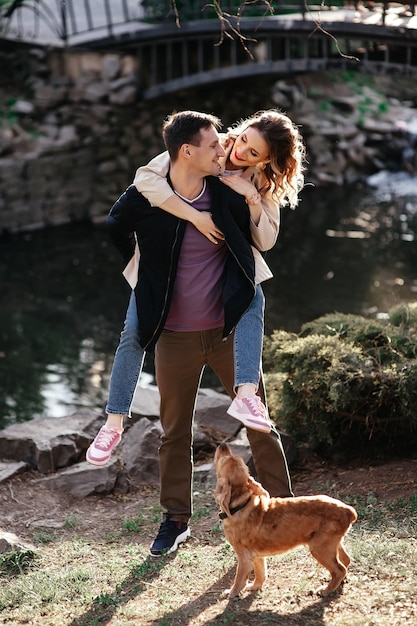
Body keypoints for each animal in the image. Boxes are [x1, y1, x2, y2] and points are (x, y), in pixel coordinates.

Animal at [213, 442, 356, 596]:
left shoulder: (244, 556)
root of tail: (349, 512)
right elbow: (260, 573)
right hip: (333, 542)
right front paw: (255, 587)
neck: (240, 505)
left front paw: (231, 593)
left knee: (339, 569)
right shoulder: (256, 555)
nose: (223, 444)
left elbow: (239, 579)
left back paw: (326, 590)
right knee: (346, 560)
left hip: (319, 547)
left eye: (223, 460)